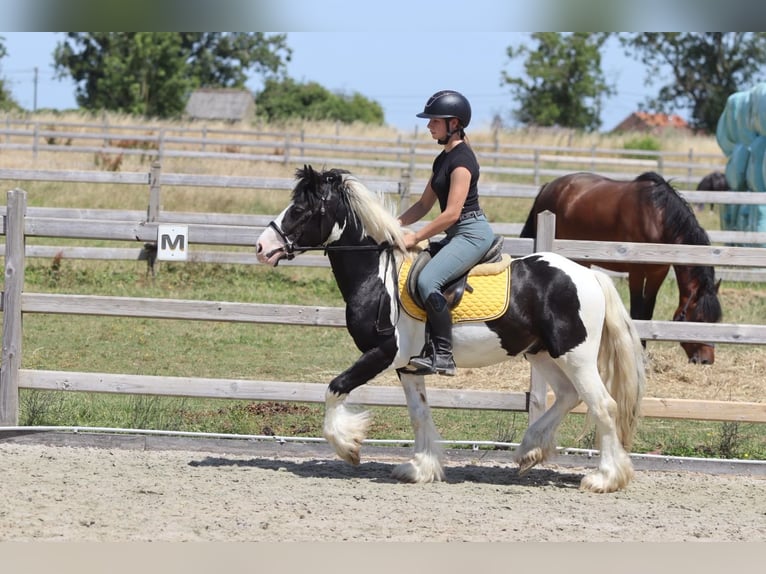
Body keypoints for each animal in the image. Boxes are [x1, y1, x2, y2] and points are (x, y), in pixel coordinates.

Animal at [256, 165, 646, 493]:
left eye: (300, 210)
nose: (262, 247)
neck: (376, 275)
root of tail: (589, 276)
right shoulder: (408, 366)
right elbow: (419, 414)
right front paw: (419, 468)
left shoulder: (381, 354)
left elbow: (334, 389)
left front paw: (348, 446)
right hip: (542, 353)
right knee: (568, 396)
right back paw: (529, 451)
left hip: (575, 355)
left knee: (604, 406)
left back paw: (604, 478)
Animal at [520, 171, 723, 364]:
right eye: (699, 318)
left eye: (715, 320)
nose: (706, 360)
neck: (657, 217)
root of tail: (548, 187)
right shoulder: (636, 272)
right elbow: (637, 312)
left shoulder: (657, 273)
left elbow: (647, 312)